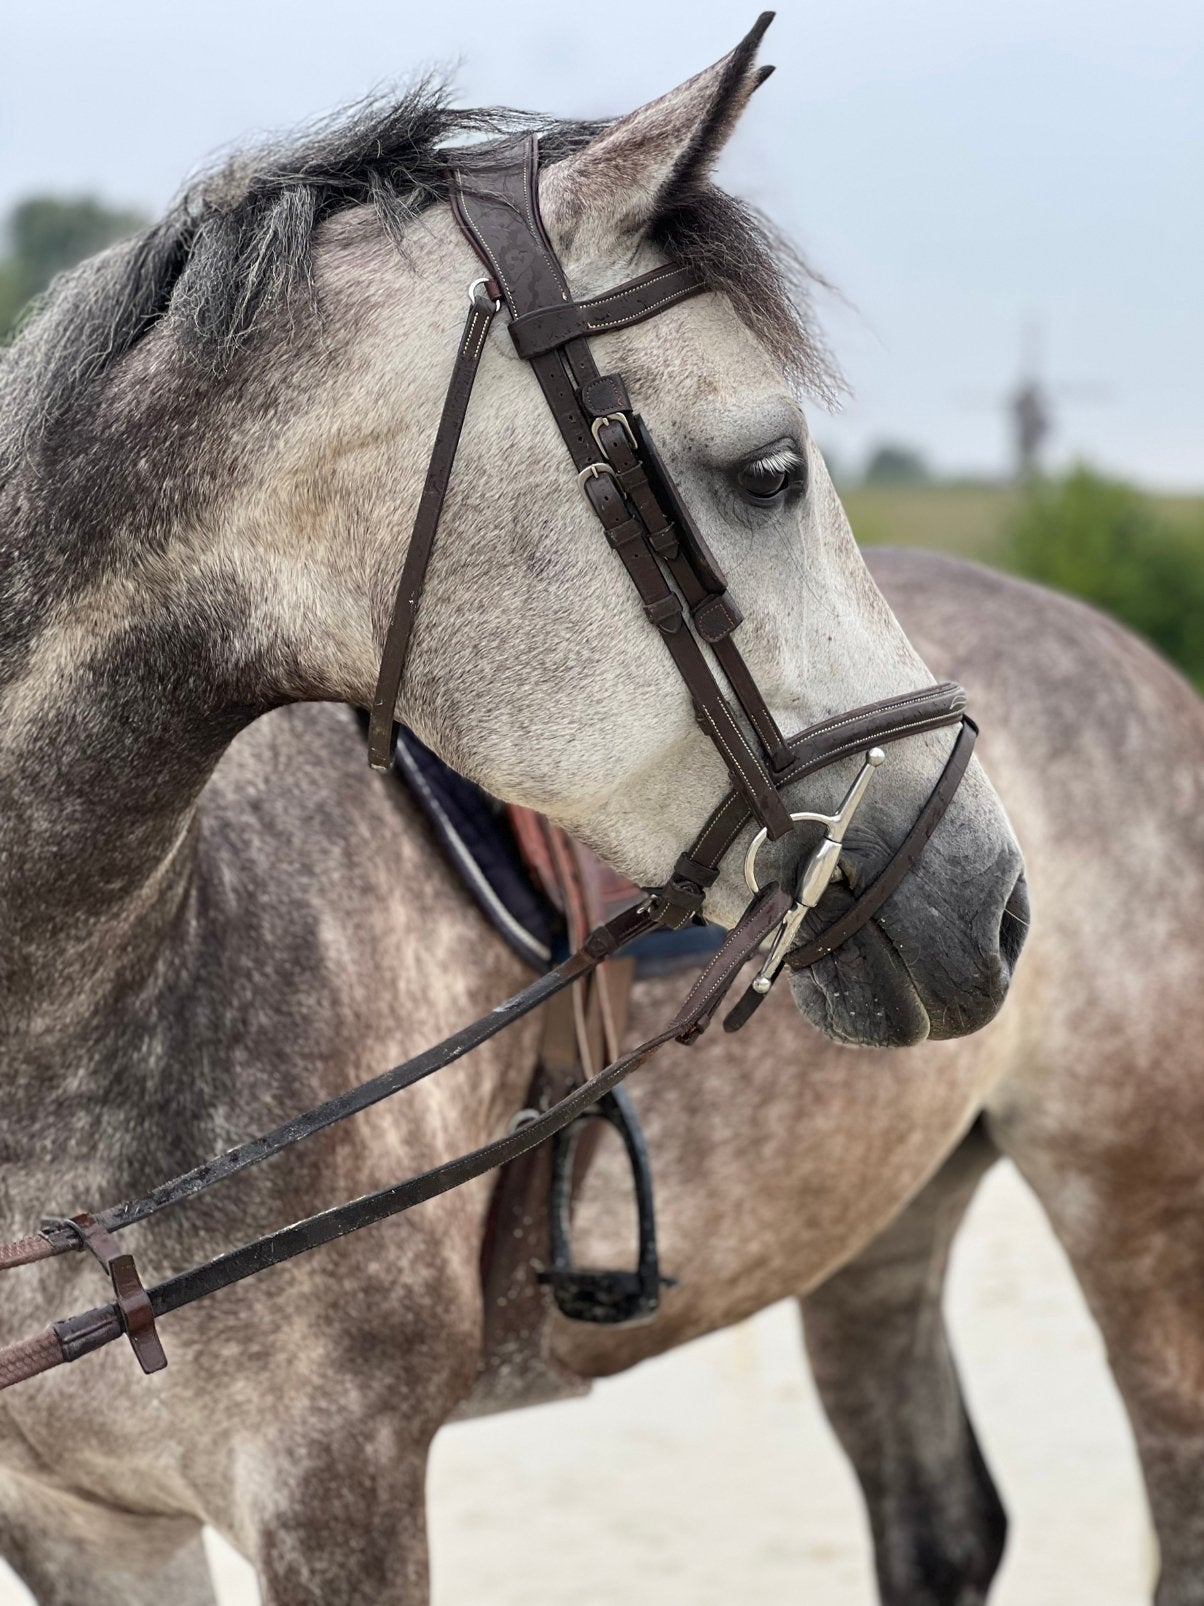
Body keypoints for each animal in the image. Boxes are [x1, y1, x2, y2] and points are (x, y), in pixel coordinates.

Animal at [0, 17, 1185, 1605]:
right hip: (883, 1227)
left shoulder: (337, 1482)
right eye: (768, 471)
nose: (991, 901)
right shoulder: (83, 1523)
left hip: (1139, 1214)